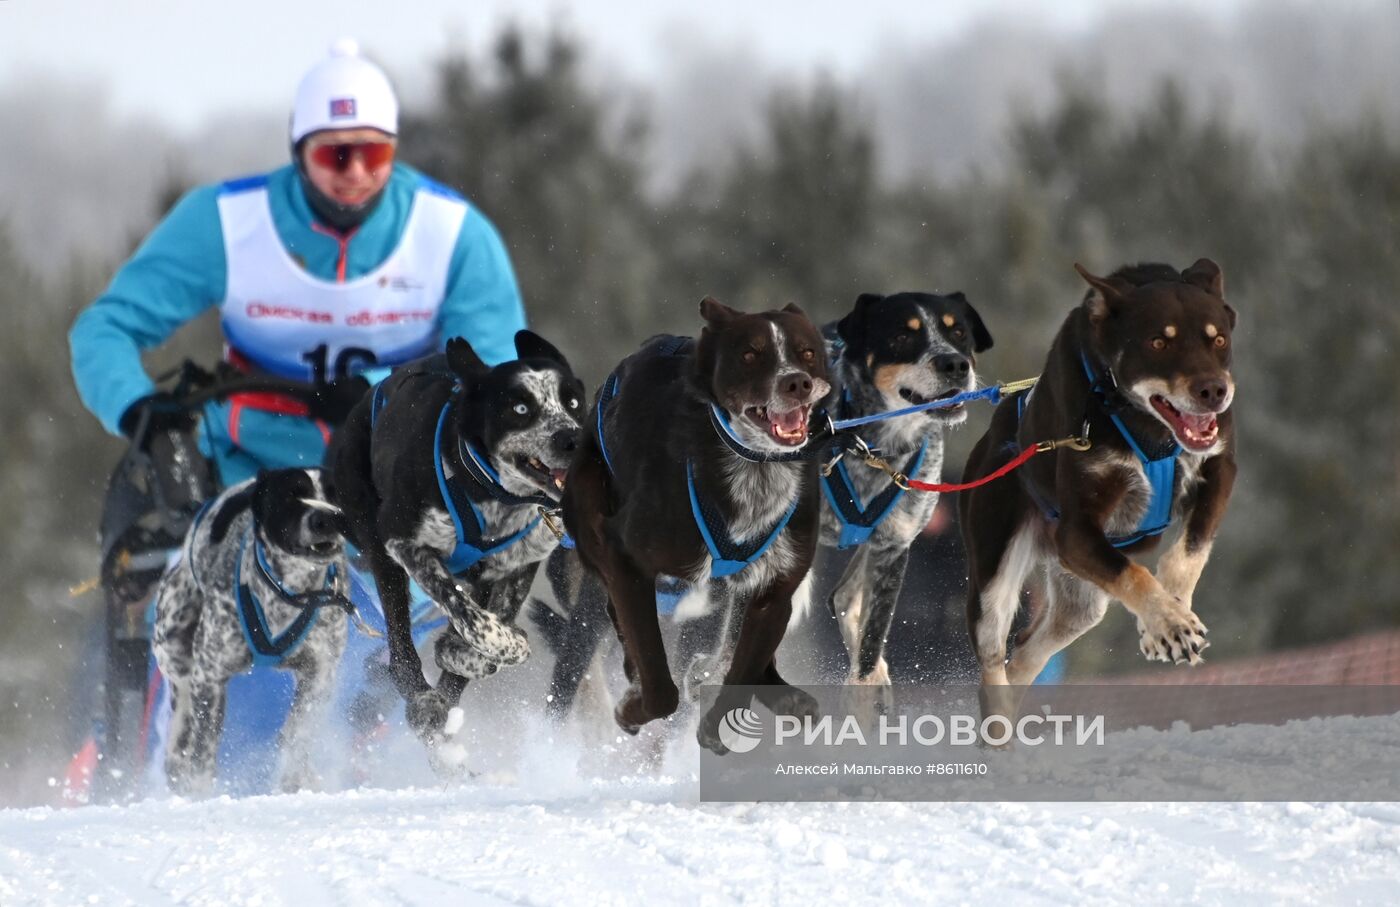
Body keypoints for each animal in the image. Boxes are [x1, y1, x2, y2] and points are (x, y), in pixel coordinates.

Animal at [151, 467, 350, 795]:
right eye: (292, 494)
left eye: (336, 494)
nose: (327, 517)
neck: (288, 594)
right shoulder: (210, 677)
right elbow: (203, 747)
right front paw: (201, 791)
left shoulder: (320, 674)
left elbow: (297, 734)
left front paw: (292, 781)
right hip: (174, 646)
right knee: (181, 709)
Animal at [324, 328, 582, 755]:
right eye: (520, 408)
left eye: (573, 401)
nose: (572, 438)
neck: (493, 494)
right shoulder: (406, 544)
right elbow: (475, 621)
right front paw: (502, 645)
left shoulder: (517, 567)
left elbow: (481, 631)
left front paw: (459, 655)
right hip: (380, 549)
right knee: (400, 654)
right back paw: (424, 701)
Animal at [963, 261, 1237, 722]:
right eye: (1158, 341)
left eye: (1218, 338)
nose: (1214, 391)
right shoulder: (1077, 533)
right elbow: (1137, 573)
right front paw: (1170, 624)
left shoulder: (1219, 470)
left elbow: (1190, 551)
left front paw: (1169, 614)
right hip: (996, 575)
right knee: (993, 657)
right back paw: (997, 728)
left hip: (1080, 604)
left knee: (1025, 656)